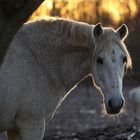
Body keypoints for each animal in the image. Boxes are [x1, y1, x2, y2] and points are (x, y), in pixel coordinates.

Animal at [0, 18, 131, 139]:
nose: (116, 104)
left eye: (124, 59)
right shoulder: (32, 125)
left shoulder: (14, 129)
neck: (38, 61)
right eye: (99, 60)